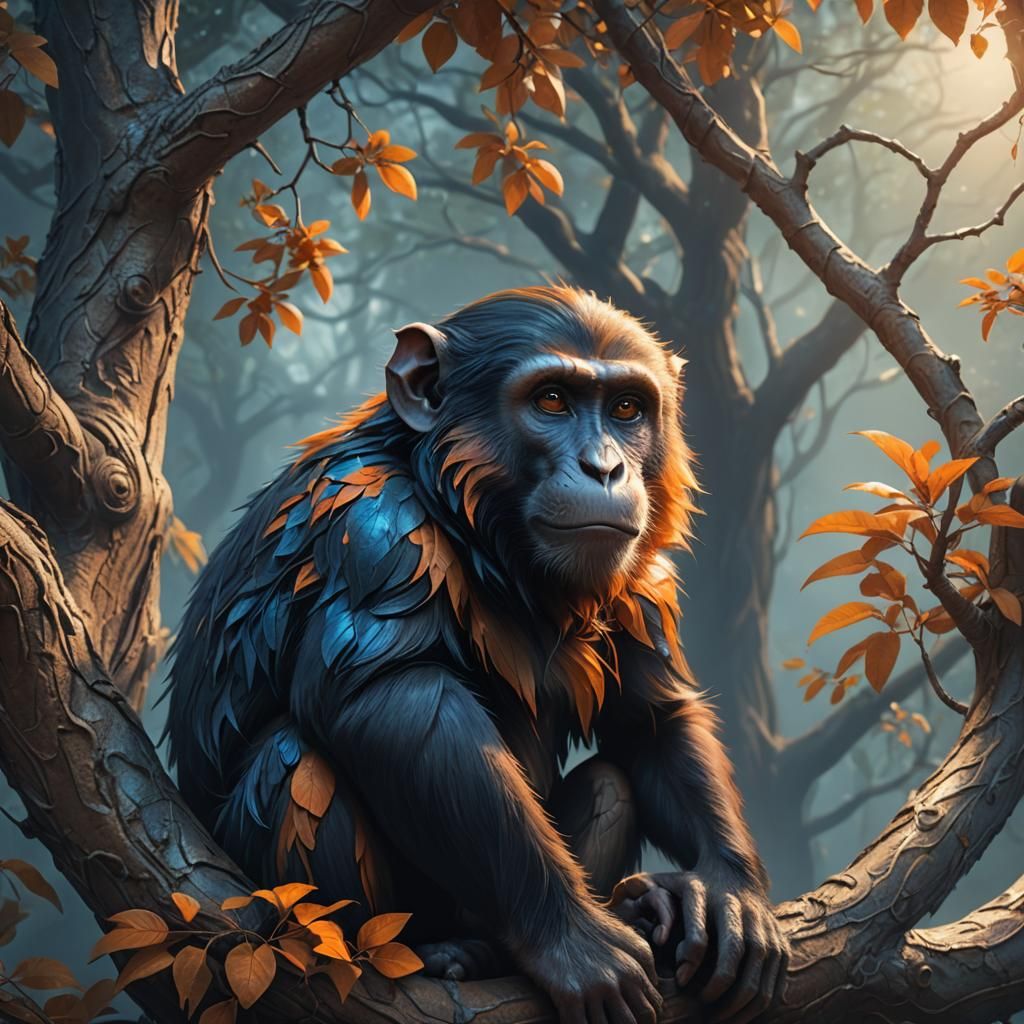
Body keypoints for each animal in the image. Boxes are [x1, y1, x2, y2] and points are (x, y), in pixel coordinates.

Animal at [164, 286, 787, 1024]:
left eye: (628, 409)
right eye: (552, 400)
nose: (606, 467)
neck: (472, 518)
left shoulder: (638, 576)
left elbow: (651, 718)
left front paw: (728, 892)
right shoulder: (375, 530)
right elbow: (396, 698)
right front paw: (575, 941)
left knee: (611, 786)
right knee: (292, 764)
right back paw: (401, 951)